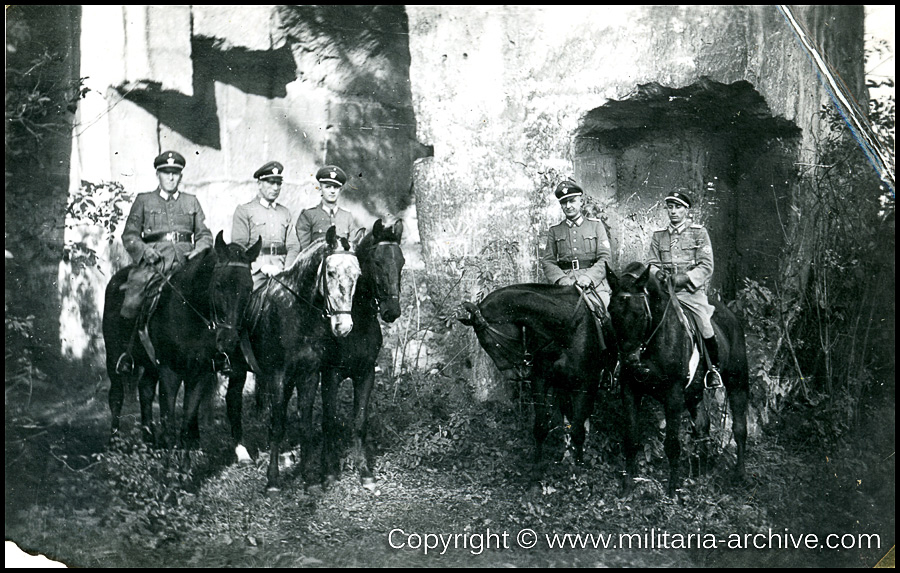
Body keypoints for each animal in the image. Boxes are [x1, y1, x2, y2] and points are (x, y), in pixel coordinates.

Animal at [104, 231, 264, 446]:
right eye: (219, 285)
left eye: (249, 288)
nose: (228, 340)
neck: (189, 313)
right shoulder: (169, 371)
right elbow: (169, 421)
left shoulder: (200, 372)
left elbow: (188, 418)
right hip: (114, 357)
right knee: (116, 396)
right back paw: (114, 442)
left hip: (150, 364)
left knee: (145, 390)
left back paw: (148, 440)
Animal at [229, 226, 366, 490]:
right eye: (330, 272)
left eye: (357, 274)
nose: (343, 326)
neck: (296, 311)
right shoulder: (278, 375)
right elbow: (277, 424)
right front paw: (273, 481)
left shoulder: (308, 375)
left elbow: (305, 423)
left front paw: (309, 477)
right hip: (235, 370)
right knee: (232, 402)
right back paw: (241, 453)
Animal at [316, 219, 400, 488]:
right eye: (376, 262)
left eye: (402, 261)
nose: (392, 311)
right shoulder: (330, 375)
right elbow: (329, 421)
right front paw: (329, 470)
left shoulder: (366, 374)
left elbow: (360, 421)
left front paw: (364, 471)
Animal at [458, 284, 620, 476]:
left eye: (489, 343)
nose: (514, 374)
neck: (564, 327)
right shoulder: (540, 381)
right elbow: (541, 426)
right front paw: (537, 468)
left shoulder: (584, 385)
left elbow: (578, 430)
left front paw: (579, 466)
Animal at [604, 262, 752, 494]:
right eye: (612, 310)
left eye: (640, 313)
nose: (629, 361)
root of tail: (731, 315)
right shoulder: (629, 390)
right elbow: (631, 438)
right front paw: (628, 486)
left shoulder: (673, 395)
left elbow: (672, 444)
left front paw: (673, 489)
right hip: (694, 393)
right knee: (702, 427)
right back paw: (700, 473)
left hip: (737, 382)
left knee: (739, 429)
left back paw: (740, 475)